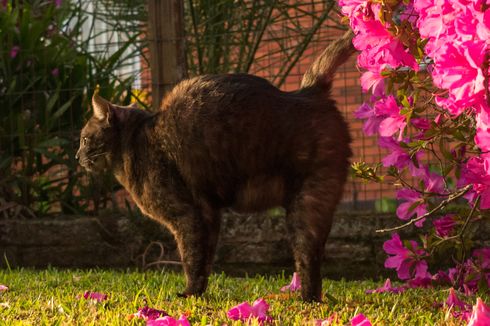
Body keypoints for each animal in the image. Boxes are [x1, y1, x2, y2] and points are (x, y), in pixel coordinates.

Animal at [78, 30, 358, 300]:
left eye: (84, 139)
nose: (76, 156)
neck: (134, 141)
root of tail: (307, 91)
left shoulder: (187, 215)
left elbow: (191, 257)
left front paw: (188, 294)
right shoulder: (209, 213)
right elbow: (205, 259)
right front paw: (199, 292)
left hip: (308, 202)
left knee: (308, 258)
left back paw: (306, 299)